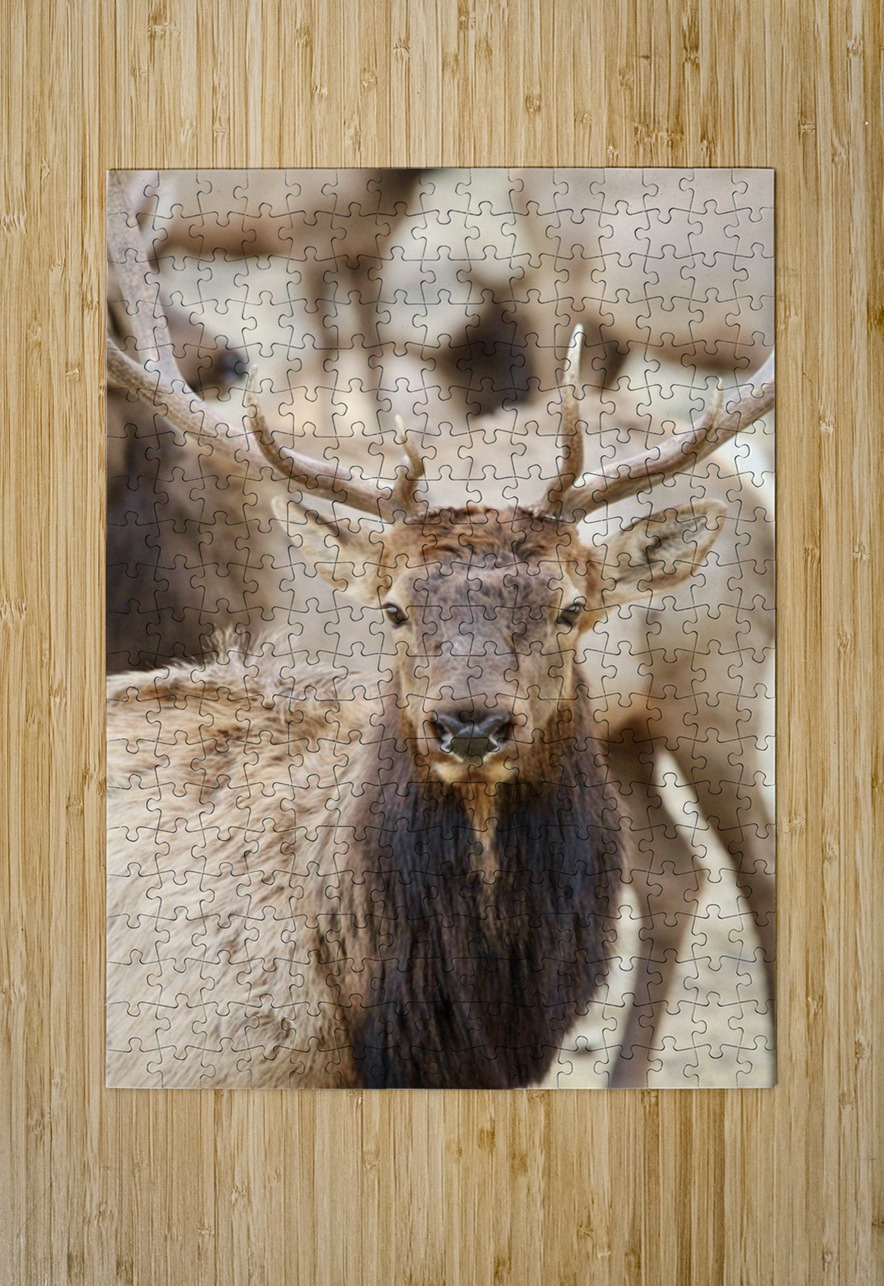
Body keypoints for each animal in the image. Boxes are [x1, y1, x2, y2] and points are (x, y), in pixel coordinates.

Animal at [106, 234, 774, 1086]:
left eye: (571, 608)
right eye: (393, 609)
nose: (470, 724)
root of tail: (748, 485)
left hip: (717, 692)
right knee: (677, 871)